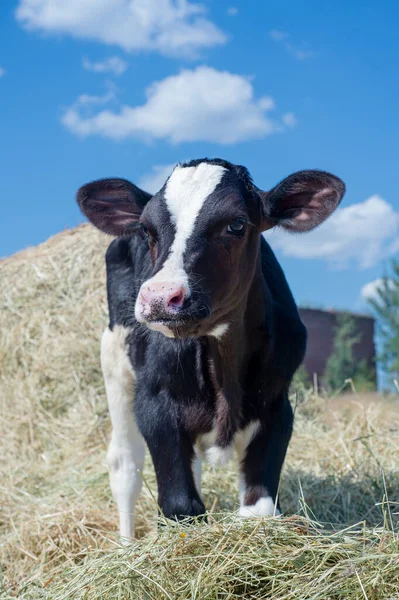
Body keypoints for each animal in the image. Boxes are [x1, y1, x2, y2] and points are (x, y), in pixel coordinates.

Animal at [76, 157, 346, 536]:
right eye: (147, 229)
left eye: (236, 224)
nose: (159, 297)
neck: (224, 363)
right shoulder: (155, 404)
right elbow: (180, 506)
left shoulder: (277, 407)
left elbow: (258, 509)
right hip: (114, 363)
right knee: (125, 466)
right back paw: (126, 543)